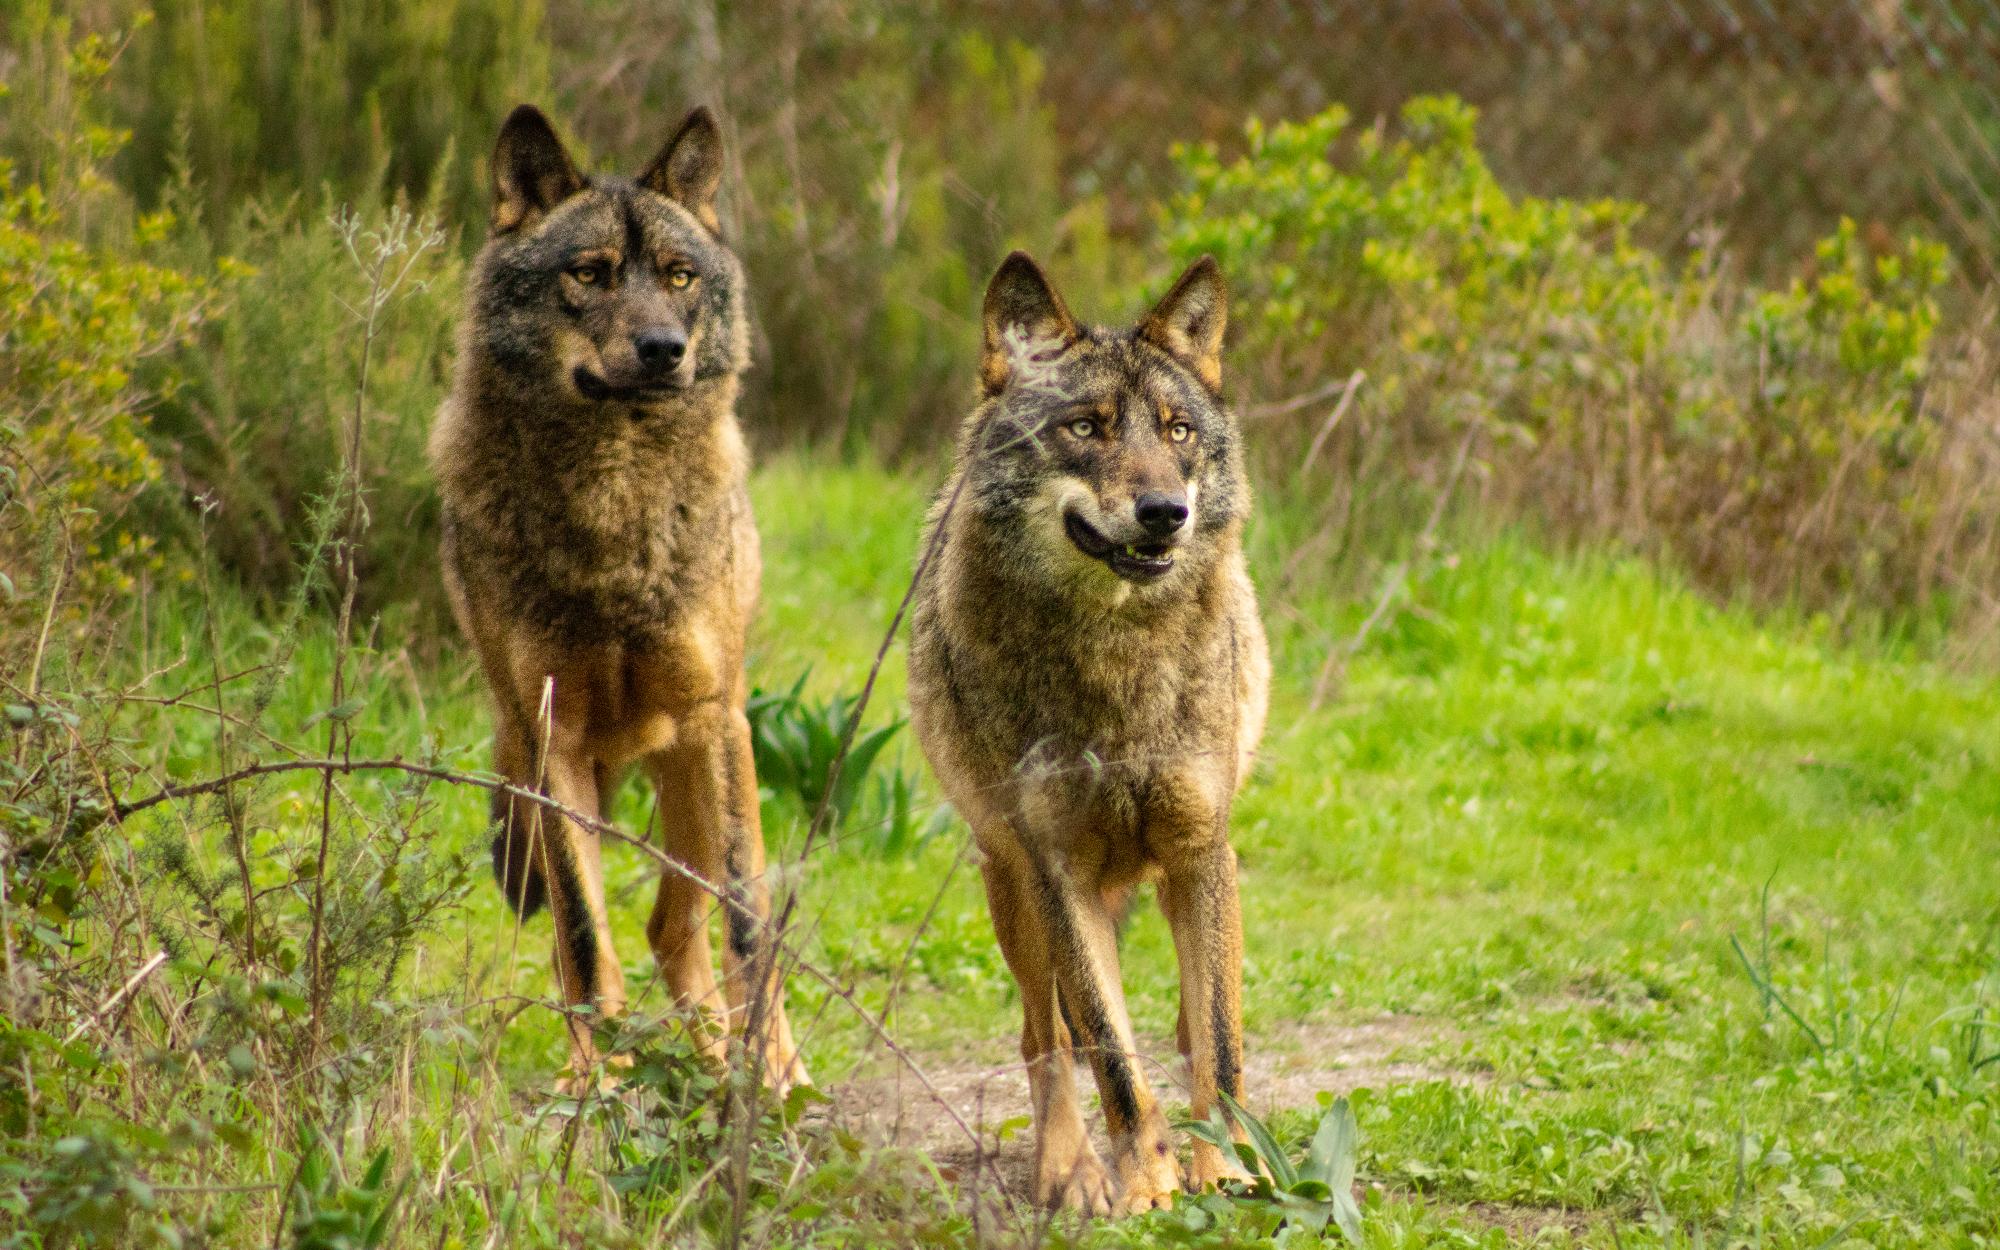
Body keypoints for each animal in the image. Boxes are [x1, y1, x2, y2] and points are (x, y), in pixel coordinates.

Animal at [429, 103, 805, 1092]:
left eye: (678, 276)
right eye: (589, 274)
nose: (664, 351)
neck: (616, 516)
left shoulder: (716, 720)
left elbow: (747, 924)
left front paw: (770, 1073)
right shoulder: (551, 736)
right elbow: (582, 938)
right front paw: (601, 1083)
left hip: (698, 771)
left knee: (677, 925)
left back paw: (728, 1060)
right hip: (543, 767)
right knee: (625, 931)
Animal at [906, 252, 1270, 1214]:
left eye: (1178, 432)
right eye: (1085, 427)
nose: (1165, 511)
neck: (1120, 664)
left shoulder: (1200, 848)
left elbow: (1219, 1048)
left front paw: (1229, 1170)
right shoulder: (1057, 869)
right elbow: (1109, 1054)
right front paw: (1145, 1183)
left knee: (1189, 1022)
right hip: (1012, 891)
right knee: (1046, 1039)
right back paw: (1068, 1171)